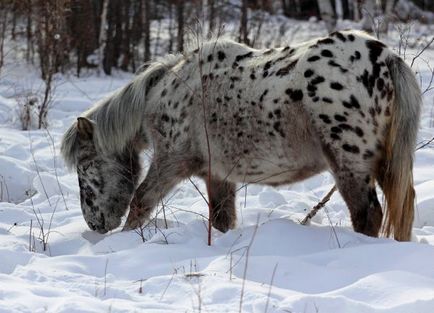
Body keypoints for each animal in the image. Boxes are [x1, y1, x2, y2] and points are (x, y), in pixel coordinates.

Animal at [60, 29, 420, 239]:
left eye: (85, 165)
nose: (94, 224)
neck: (167, 91)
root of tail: (386, 58)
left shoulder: (170, 162)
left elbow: (140, 203)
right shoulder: (217, 174)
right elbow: (221, 218)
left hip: (350, 166)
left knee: (368, 216)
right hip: (385, 165)